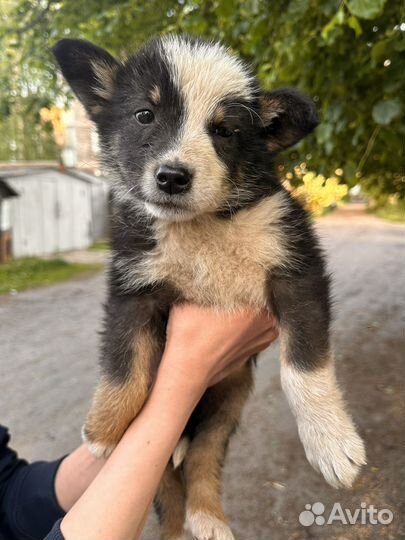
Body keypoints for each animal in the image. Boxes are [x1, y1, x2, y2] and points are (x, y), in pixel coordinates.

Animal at [52, 35, 364, 536]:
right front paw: (104, 431)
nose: (172, 177)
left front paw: (331, 442)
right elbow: (124, 366)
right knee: (163, 480)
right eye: (145, 115)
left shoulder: (297, 269)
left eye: (225, 131)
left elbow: (303, 367)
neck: (204, 226)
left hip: (227, 403)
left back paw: (207, 516)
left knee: (202, 455)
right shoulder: (133, 289)